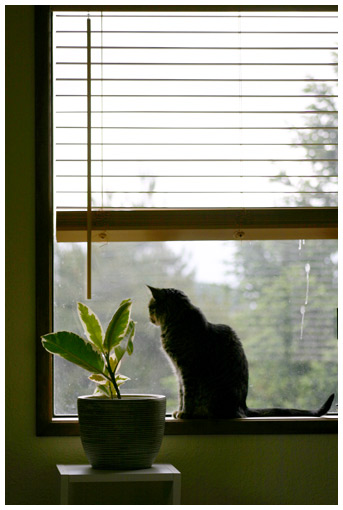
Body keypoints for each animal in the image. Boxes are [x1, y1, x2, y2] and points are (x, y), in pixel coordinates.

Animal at [148, 284, 336, 420]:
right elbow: (181, 393)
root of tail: (243, 407)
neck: (175, 322)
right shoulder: (178, 371)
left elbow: (187, 395)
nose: (149, 318)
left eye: (150, 307)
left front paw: (185, 413)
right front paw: (179, 411)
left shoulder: (187, 369)